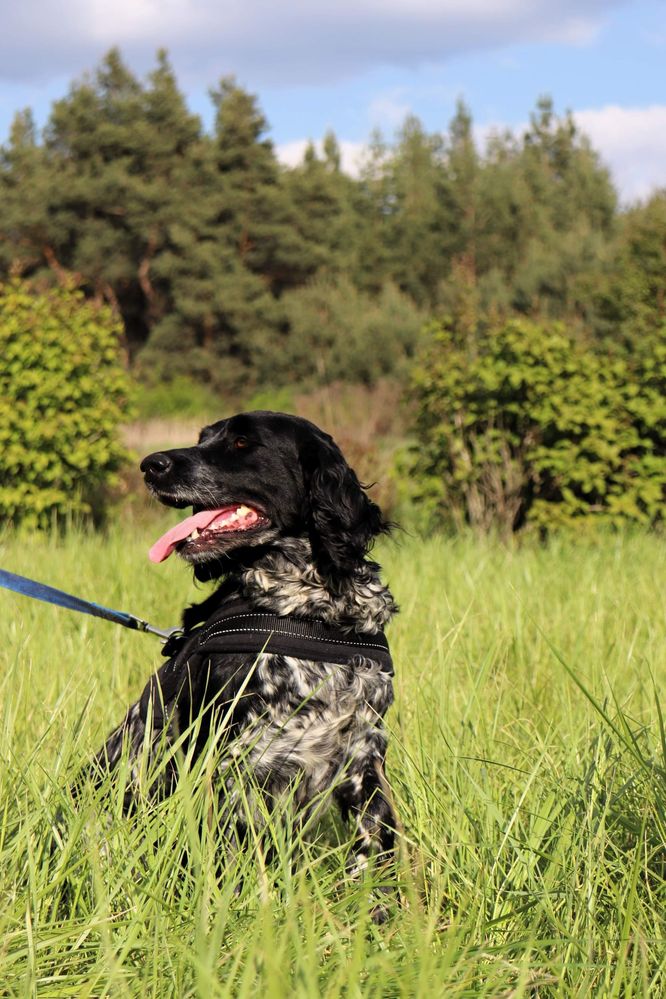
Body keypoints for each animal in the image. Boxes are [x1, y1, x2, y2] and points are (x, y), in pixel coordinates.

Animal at [91, 414, 396, 900]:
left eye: (241, 442)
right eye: (201, 439)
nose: (150, 464)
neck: (310, 613)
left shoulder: (365, 758)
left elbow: (372, 860)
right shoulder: (239, 766)